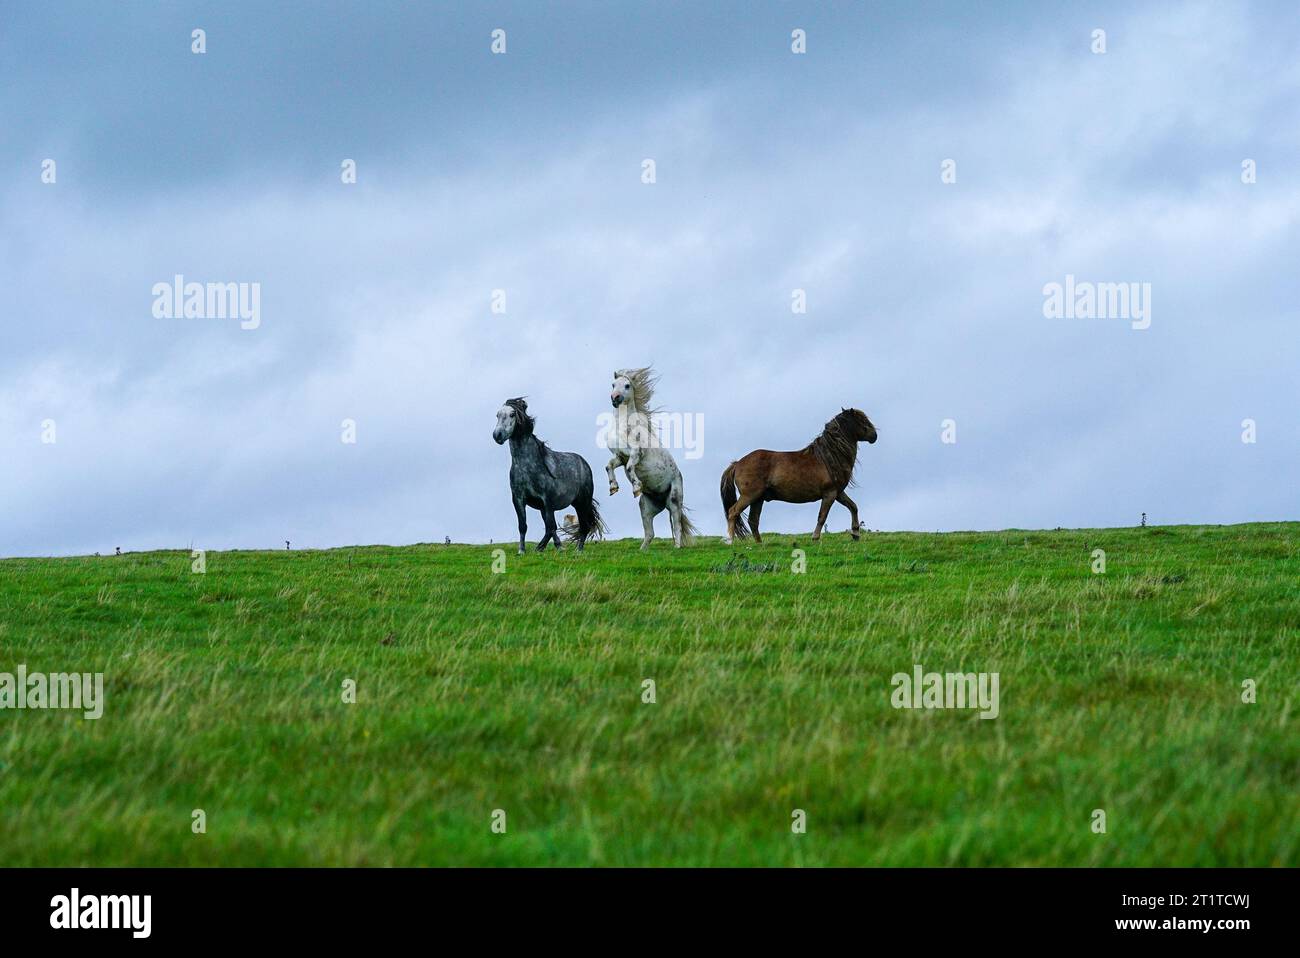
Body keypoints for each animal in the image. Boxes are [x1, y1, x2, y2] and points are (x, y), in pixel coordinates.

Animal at [603, 366, 696, 545]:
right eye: (613, 384)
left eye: (627, 385)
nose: (615, 398)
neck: (623, 427)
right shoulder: (619, 457)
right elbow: (608, 466)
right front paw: (613, 488)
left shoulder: (635, 453)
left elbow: (630, 467)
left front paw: (636, 487)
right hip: (646, 507)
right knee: (650, 533)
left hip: (674, 500)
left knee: (677, 527)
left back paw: (677, 547)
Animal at [722, 405, 873, 545]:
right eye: (862, 420)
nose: (874, 435)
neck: (829, 457)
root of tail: (737, 463)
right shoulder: (829, 494)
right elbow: (822, 516)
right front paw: (815, 537)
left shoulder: (838, 492)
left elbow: (853, 506)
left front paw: (855, 533)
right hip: (750, 495)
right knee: (733, 512)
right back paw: (730, 541)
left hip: (758, 499)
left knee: (753, 520)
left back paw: (760, 544)